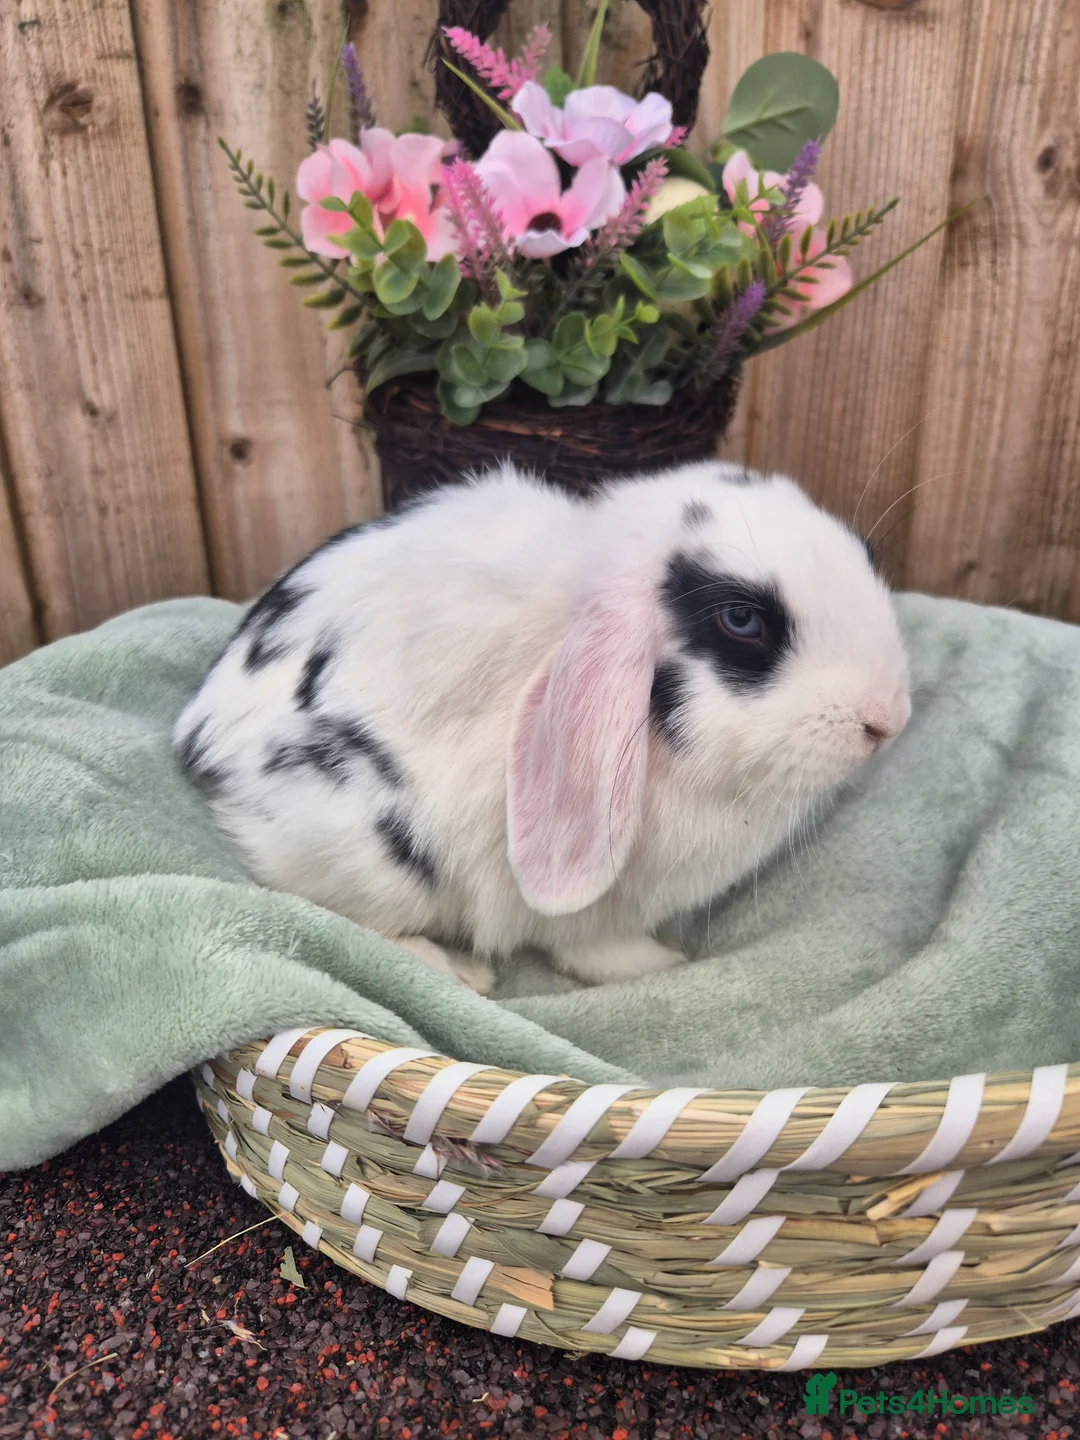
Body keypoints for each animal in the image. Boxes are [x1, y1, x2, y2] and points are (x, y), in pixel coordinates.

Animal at [173, 459, 910, 991]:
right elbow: (591, 947)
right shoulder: (592, 911)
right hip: (369, 855)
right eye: (741, 620)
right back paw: (459, 973)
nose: (887, 720)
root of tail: (196, 737)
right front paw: (661, 964)